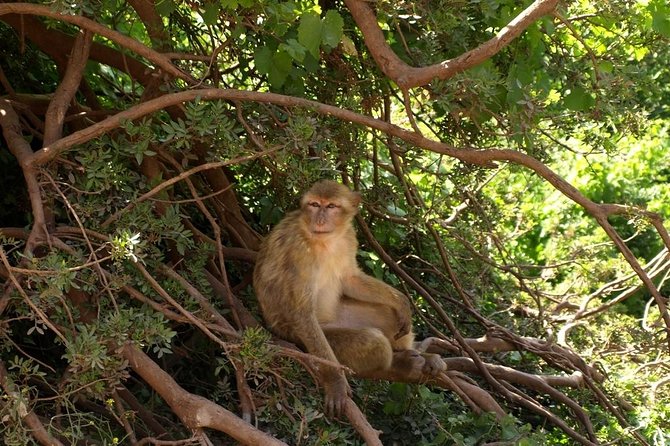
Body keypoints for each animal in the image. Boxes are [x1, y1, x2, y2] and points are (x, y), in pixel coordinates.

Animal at [253, 180, 445, 416]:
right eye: (314, 204)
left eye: (331, 206)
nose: (319, 219)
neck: (325, 240)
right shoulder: (298, 249)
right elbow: (301, 311)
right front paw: (335, 381)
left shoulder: (348, 237)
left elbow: (350, 279)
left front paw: (401, 301)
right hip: (301, 336)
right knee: (374, 341)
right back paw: (400, 364)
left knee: (387, 313)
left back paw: (417, 354)